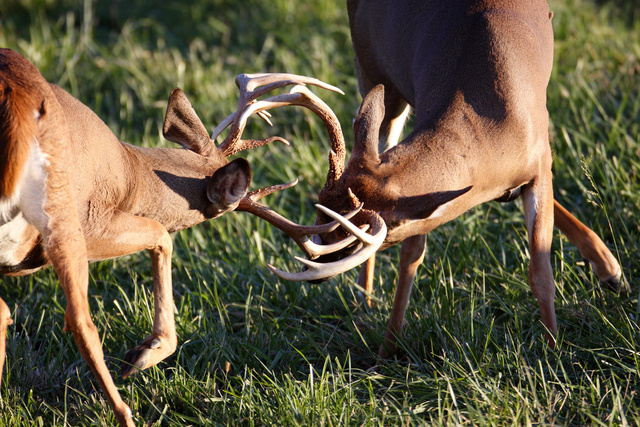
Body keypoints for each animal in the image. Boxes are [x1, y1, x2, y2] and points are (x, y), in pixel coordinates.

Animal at [0, 48, 379, 426]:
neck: (131, 174)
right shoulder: (92, 219)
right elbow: (161, 235)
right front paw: (145, 354)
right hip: (62, 217)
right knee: (81, 321)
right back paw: (126, 413)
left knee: (14, 311)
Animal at [267, 0, 629, 359]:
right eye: (318, 209)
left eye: (355, 239)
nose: (310, 272)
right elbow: (412, 256)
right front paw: (387, 348)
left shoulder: (541, 160)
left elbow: (541, 273)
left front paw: (552, 351)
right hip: (371, 72)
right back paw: (363, 300)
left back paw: (611, 271)